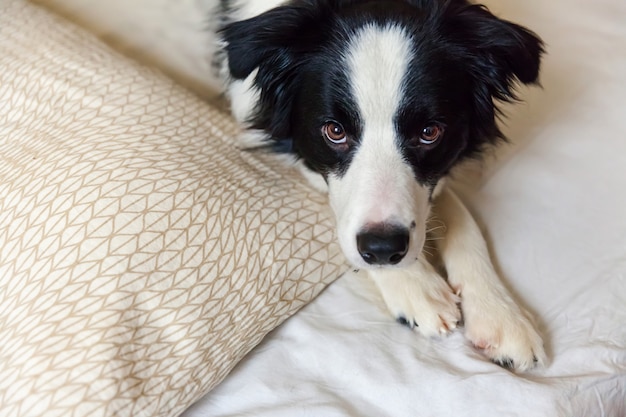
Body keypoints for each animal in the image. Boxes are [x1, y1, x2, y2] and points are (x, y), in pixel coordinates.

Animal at [207, 0, 544, 370]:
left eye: (429, 132)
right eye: (334, 131)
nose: (383, 249)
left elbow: (462, 219)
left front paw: (501, 313)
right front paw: (417, 286)